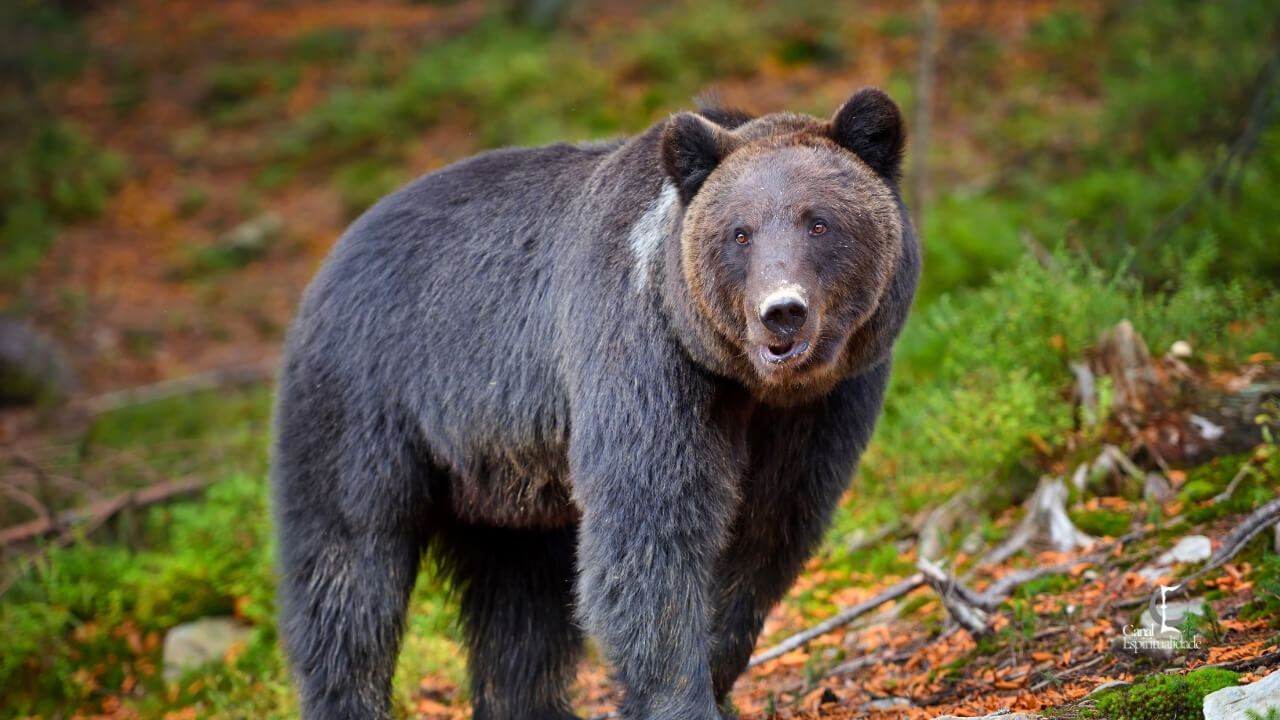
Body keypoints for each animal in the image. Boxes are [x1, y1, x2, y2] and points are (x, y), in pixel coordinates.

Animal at [272, 87, 920, 720]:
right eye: (740, 232)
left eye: (819, 223)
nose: (781, 311)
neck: (743, 381)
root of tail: (331, 258)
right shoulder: (643, 358)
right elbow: (651, 529)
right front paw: (678, 699)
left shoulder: (821, 409)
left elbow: (766, 533)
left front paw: (717, 674)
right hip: (368, 402)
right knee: (349, 573)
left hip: (504, 483)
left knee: (520, 604)